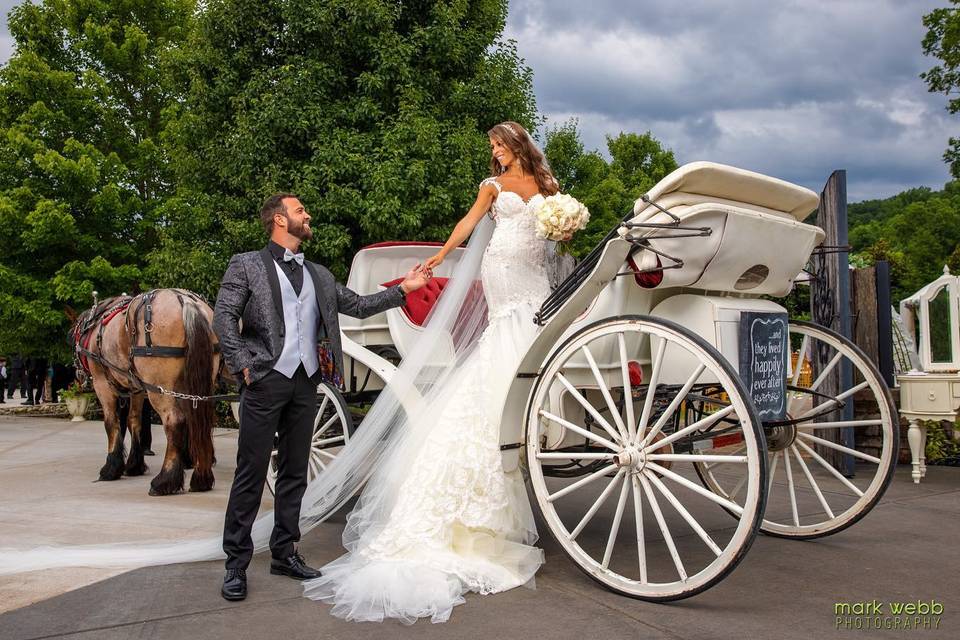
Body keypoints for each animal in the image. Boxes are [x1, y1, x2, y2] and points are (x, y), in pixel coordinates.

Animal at [73, 288, 221, 496]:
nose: (78, 375)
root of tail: (185, 301)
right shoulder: (136, 389)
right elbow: (134, 421)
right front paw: (134, 465)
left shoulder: (102, 384)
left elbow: (111, 423)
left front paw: (111, 468)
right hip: (192, 385)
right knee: (198, 422)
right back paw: (201, 477)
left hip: (160, 388)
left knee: (175, 421)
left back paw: (165, 480)